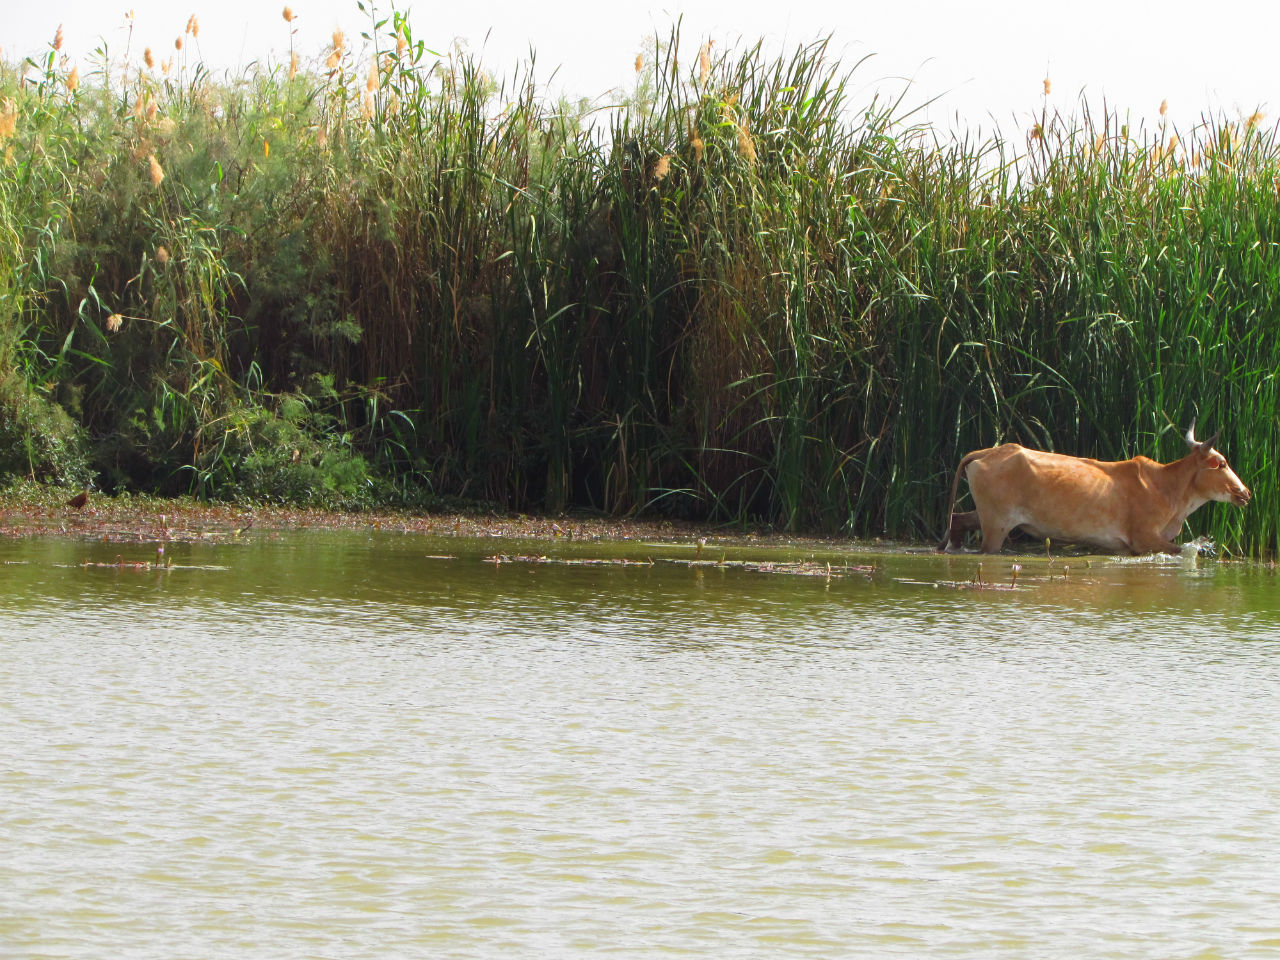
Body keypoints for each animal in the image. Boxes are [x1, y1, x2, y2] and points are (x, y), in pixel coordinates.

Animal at [942, 427, 1249, 555]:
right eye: (1221, 463)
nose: (1245, 492)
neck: (1165, 486)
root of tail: (988, 452)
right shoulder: (1144, 538)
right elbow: (1180, 550)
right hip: (996, 526)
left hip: (985, 515)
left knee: (958, 520)